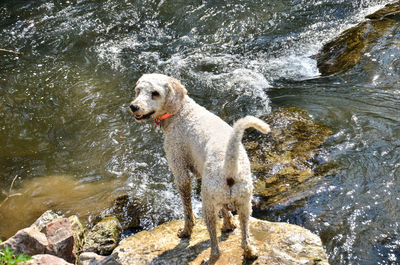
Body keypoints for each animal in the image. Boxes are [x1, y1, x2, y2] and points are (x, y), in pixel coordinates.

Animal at [130, 73, 270, 262]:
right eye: (138, 90)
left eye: (155, 93)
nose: (134, 107)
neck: (181, 111)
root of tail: (230, 166)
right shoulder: (206, 180)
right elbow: (225, 210)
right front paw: (229, 225)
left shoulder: (180, 170)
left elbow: (187, 209)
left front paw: (186, 231)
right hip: (243, 204)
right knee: (245, 238)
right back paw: (250, 253)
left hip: (208, 207)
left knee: (216, 248)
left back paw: (210, 259)